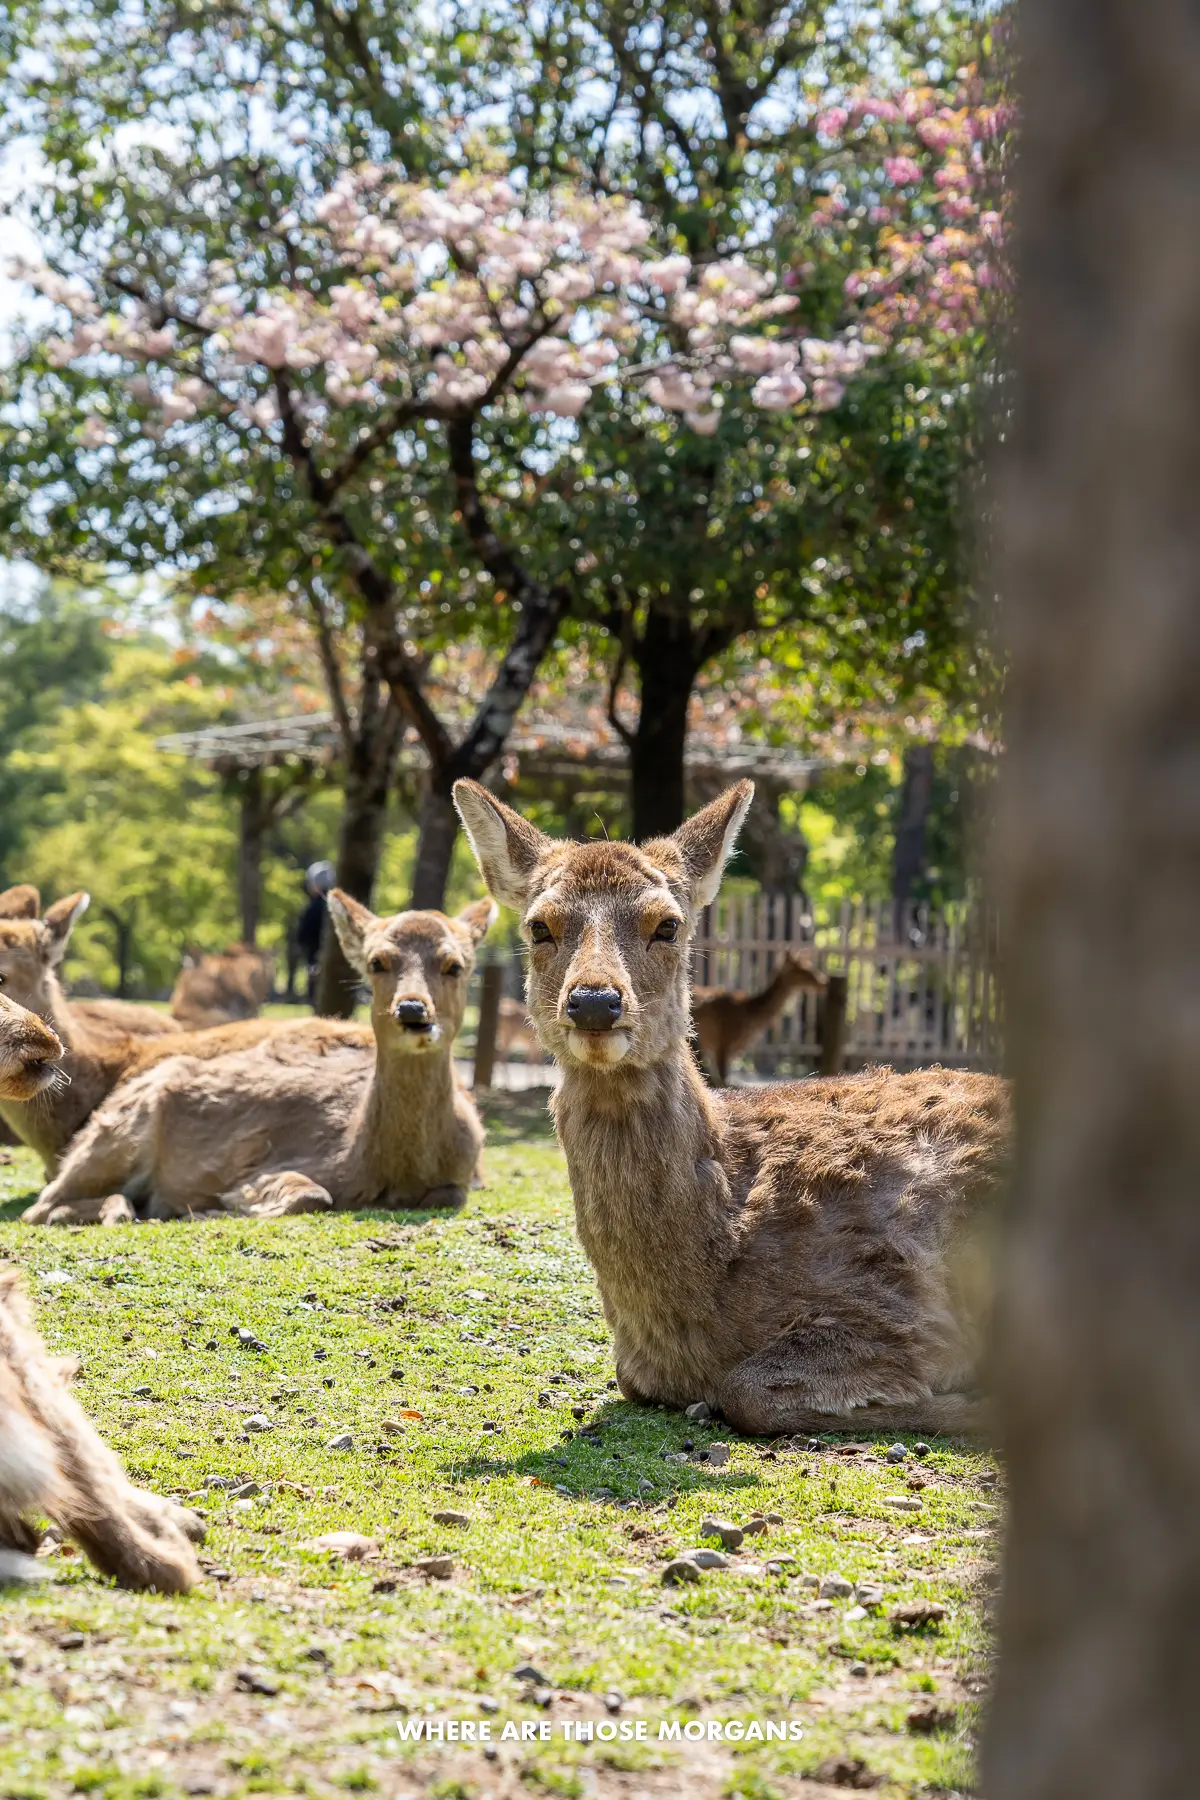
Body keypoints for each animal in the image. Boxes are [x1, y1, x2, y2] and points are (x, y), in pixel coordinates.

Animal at [23, 896, 495, 1224]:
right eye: (377, 961)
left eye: (455, 964)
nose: (413, 1011)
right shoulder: (284, 1163)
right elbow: (311, 1195)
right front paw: (224, 1206)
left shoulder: (461, 1177)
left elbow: (452, 1193)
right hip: (114, 1136)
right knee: (40, 1205)